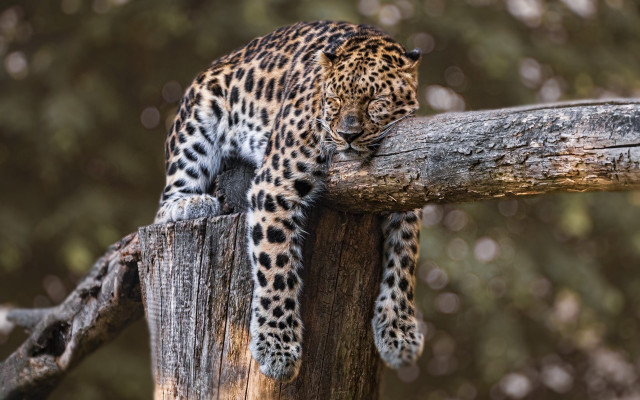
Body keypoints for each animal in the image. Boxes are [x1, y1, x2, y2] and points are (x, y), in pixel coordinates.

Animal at [154, 20, 424, 382]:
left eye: (375, 100)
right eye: (335, 99)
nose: (347, 135)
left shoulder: (406, 191)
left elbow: (404, 261)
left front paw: (398, 333)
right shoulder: (274, 186)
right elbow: (276, 265)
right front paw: (277, 348)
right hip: (196, 122)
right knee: (165, 202)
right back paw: (191, 204)